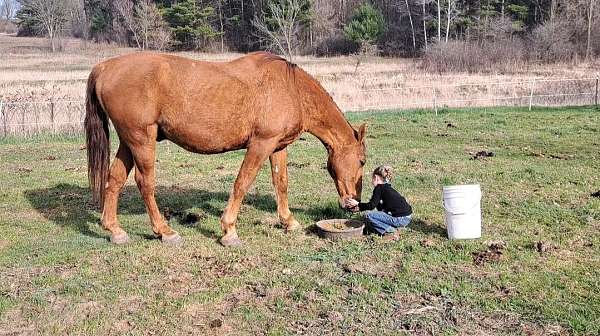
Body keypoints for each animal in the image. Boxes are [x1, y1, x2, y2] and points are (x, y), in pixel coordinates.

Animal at [84, 51, 366, 247]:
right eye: (362, 161)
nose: (354, 203)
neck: (291, 88)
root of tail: (105, 67)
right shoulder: (261, 144)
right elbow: (242, 183)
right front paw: (229, 231)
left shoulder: (277, 147)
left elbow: (281, 183)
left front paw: (288, 221)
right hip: (142, 140)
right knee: (145, 183)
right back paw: (165, 232)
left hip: (129, 142)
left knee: (114, 179)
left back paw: (115, 231)